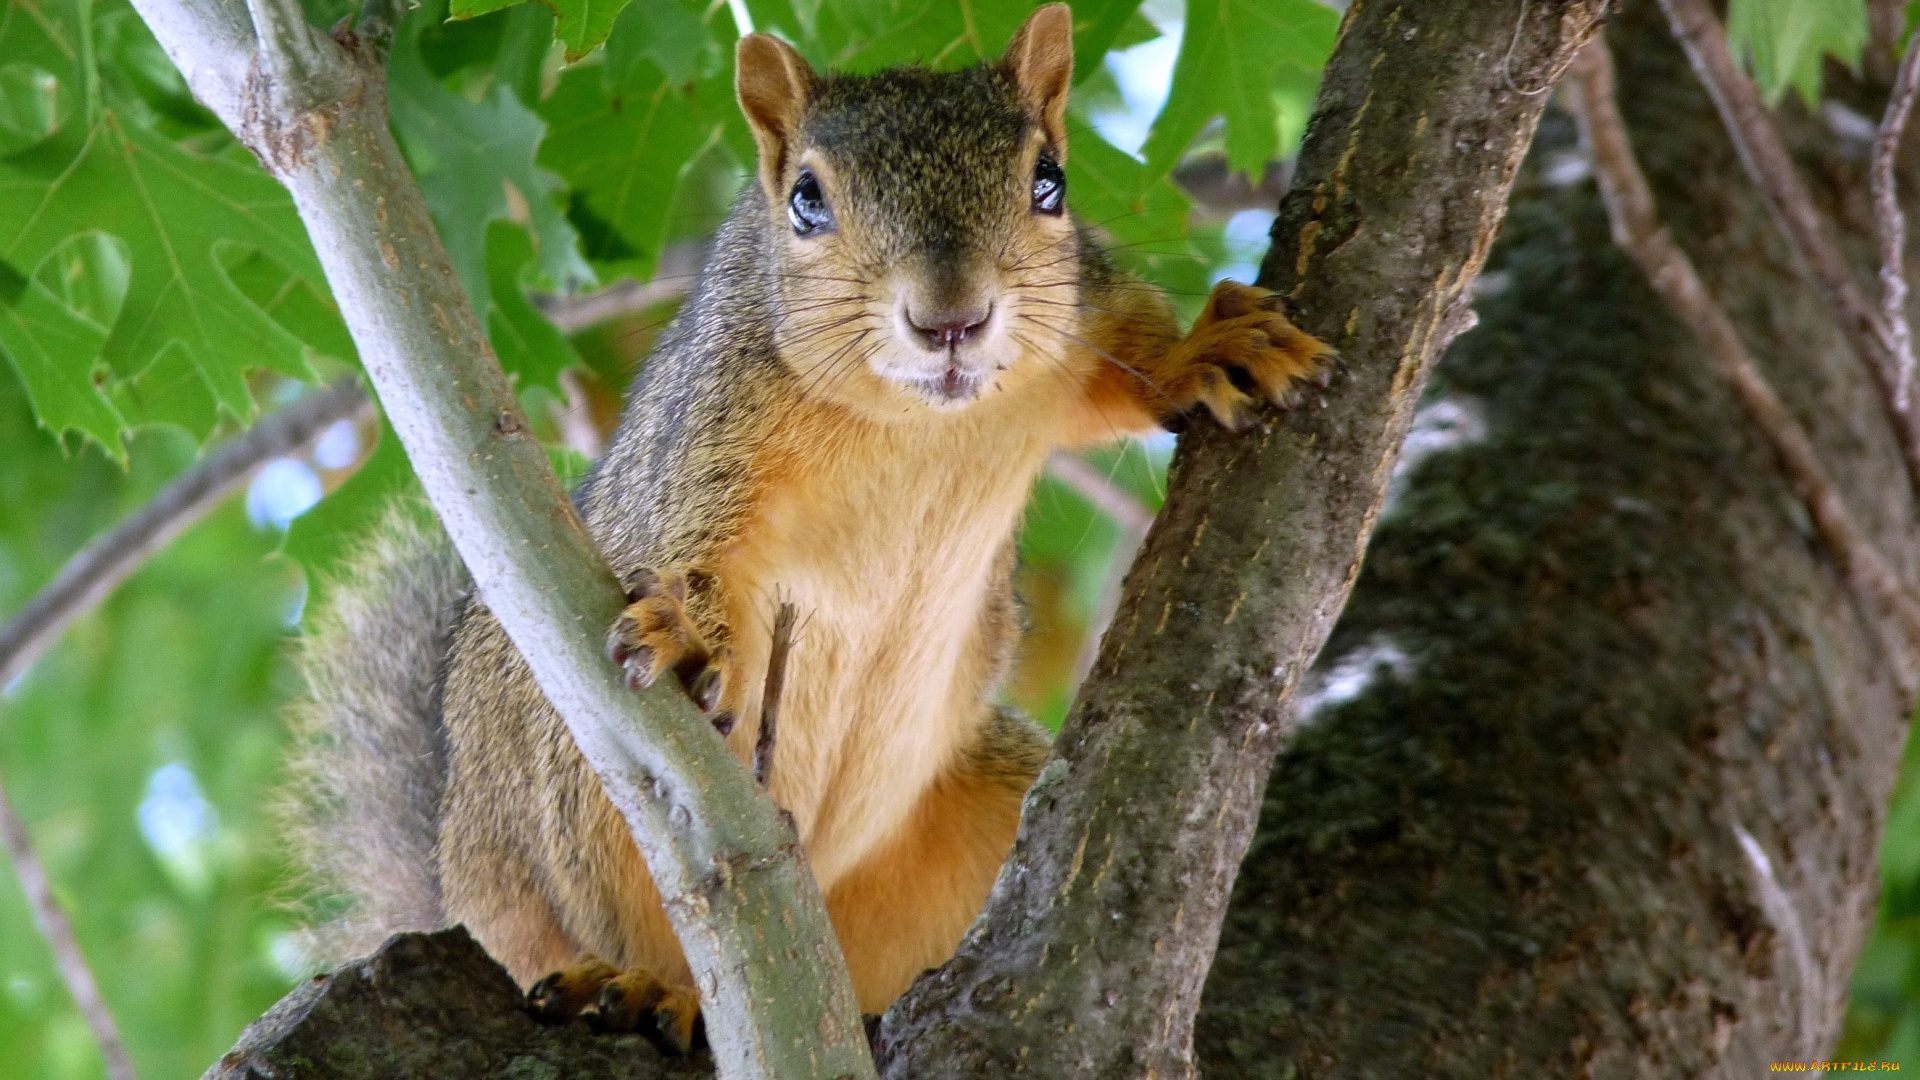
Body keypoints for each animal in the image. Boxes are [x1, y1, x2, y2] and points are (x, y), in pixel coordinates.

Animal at [288, 2, 1336, 1053]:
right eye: (805, 202)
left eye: (1051, 182)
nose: (951, 320)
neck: (917, 424)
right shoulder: (709, 421)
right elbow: (688, 539)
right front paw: (686, 630)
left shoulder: (1079, 318)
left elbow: (1134, 353)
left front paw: (1216, 346)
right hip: (566, 802)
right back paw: (628, 983)